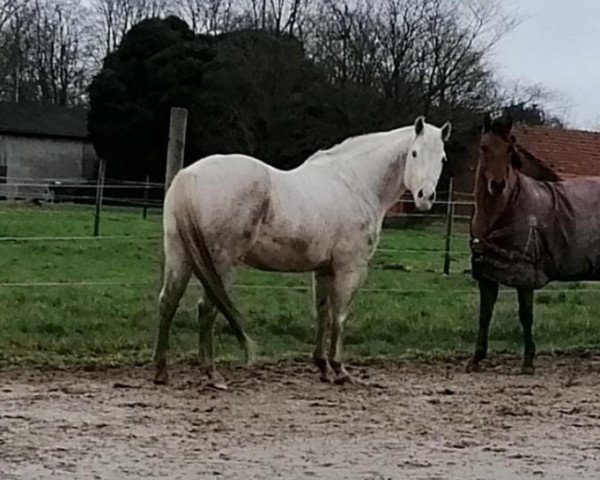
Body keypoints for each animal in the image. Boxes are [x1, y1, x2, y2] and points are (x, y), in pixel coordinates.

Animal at [152, 115, 452, 386]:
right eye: (414, 153)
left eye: (442, 159)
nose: (426, 197)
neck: (355, 183)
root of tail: (188, 177)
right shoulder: (350, 268)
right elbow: (339, 317)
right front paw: (340, 370)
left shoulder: (323, 269)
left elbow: (323, 313)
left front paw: (323, 367)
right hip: (220, 265)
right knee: (207, 309)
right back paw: (212, 374)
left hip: (180, 256)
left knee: (168, 301)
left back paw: (162, 372)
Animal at [466, 114, 600, 374]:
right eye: (483, 147)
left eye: (509, 149)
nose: (498, 185)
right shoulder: (488, 274)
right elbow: (484, 316)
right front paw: (476, 359)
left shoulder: (525, 275)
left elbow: (525, 316)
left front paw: (528, 362)